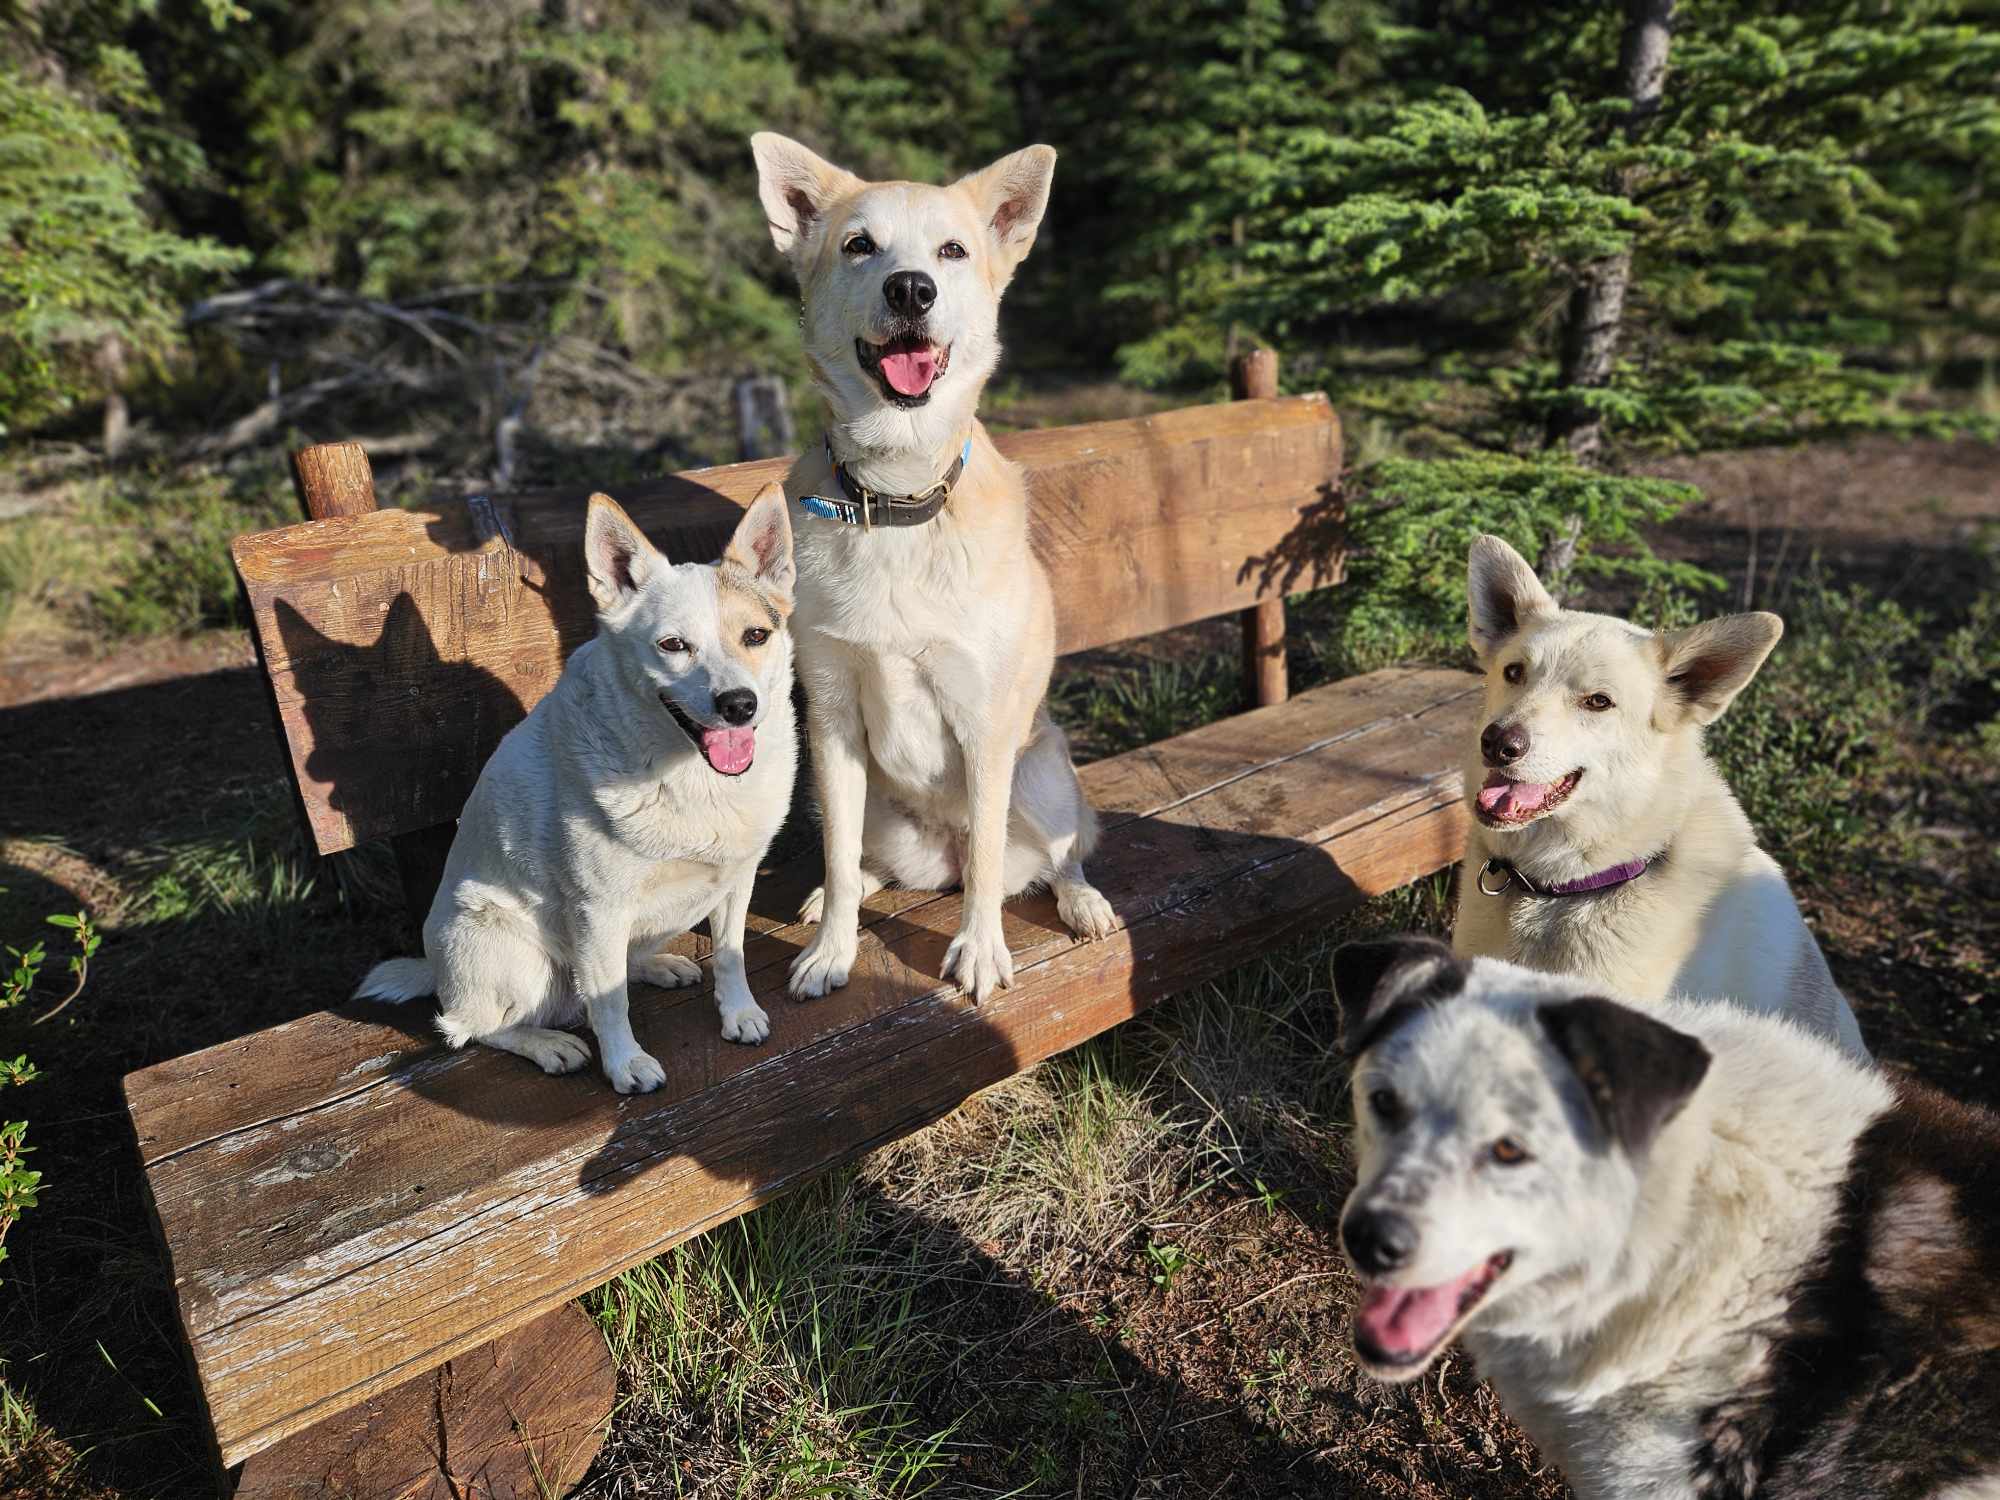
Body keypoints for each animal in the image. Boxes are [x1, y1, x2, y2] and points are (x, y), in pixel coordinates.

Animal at [752, 135, 1120, 1012]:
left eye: (952, 251)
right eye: (859, 245)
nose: (912, 288)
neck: (897, 497)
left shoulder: (984, 724)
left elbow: (988, 865)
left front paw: (980, 953)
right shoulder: (831, 720)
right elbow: (840, 858)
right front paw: (831, 949)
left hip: (1042, 774)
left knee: (1054, 854)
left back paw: (1081, 899)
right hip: (878, 810)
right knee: (868, 861)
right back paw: (836, 896)